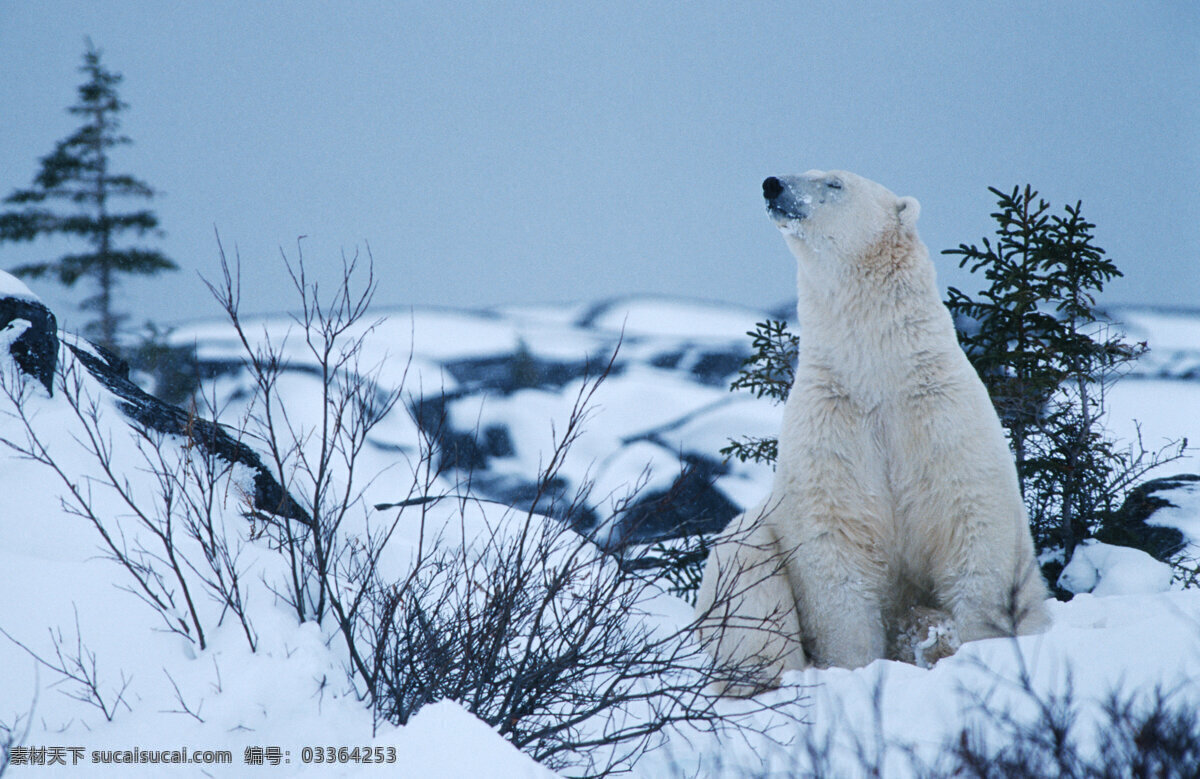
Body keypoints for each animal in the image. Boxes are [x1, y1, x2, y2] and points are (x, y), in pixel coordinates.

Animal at [695, 170, 1049, 694]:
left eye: (834, 182)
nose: (772, 184)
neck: (881, 377)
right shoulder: (832, 428)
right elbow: (837, 554)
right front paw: (857, 667)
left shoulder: (942, 418)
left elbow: (972, 528)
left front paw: (976, 646)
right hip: (748, 549)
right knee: (744, 582)